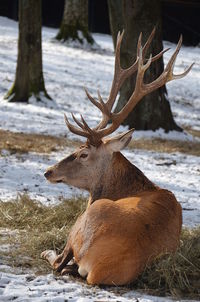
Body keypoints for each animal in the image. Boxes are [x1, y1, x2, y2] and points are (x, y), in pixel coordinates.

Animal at [41, 28, 193, 286]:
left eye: (83, 153)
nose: (48, 171)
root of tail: (97, 268)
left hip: (85, 220)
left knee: (60, 262)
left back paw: (48, 252)